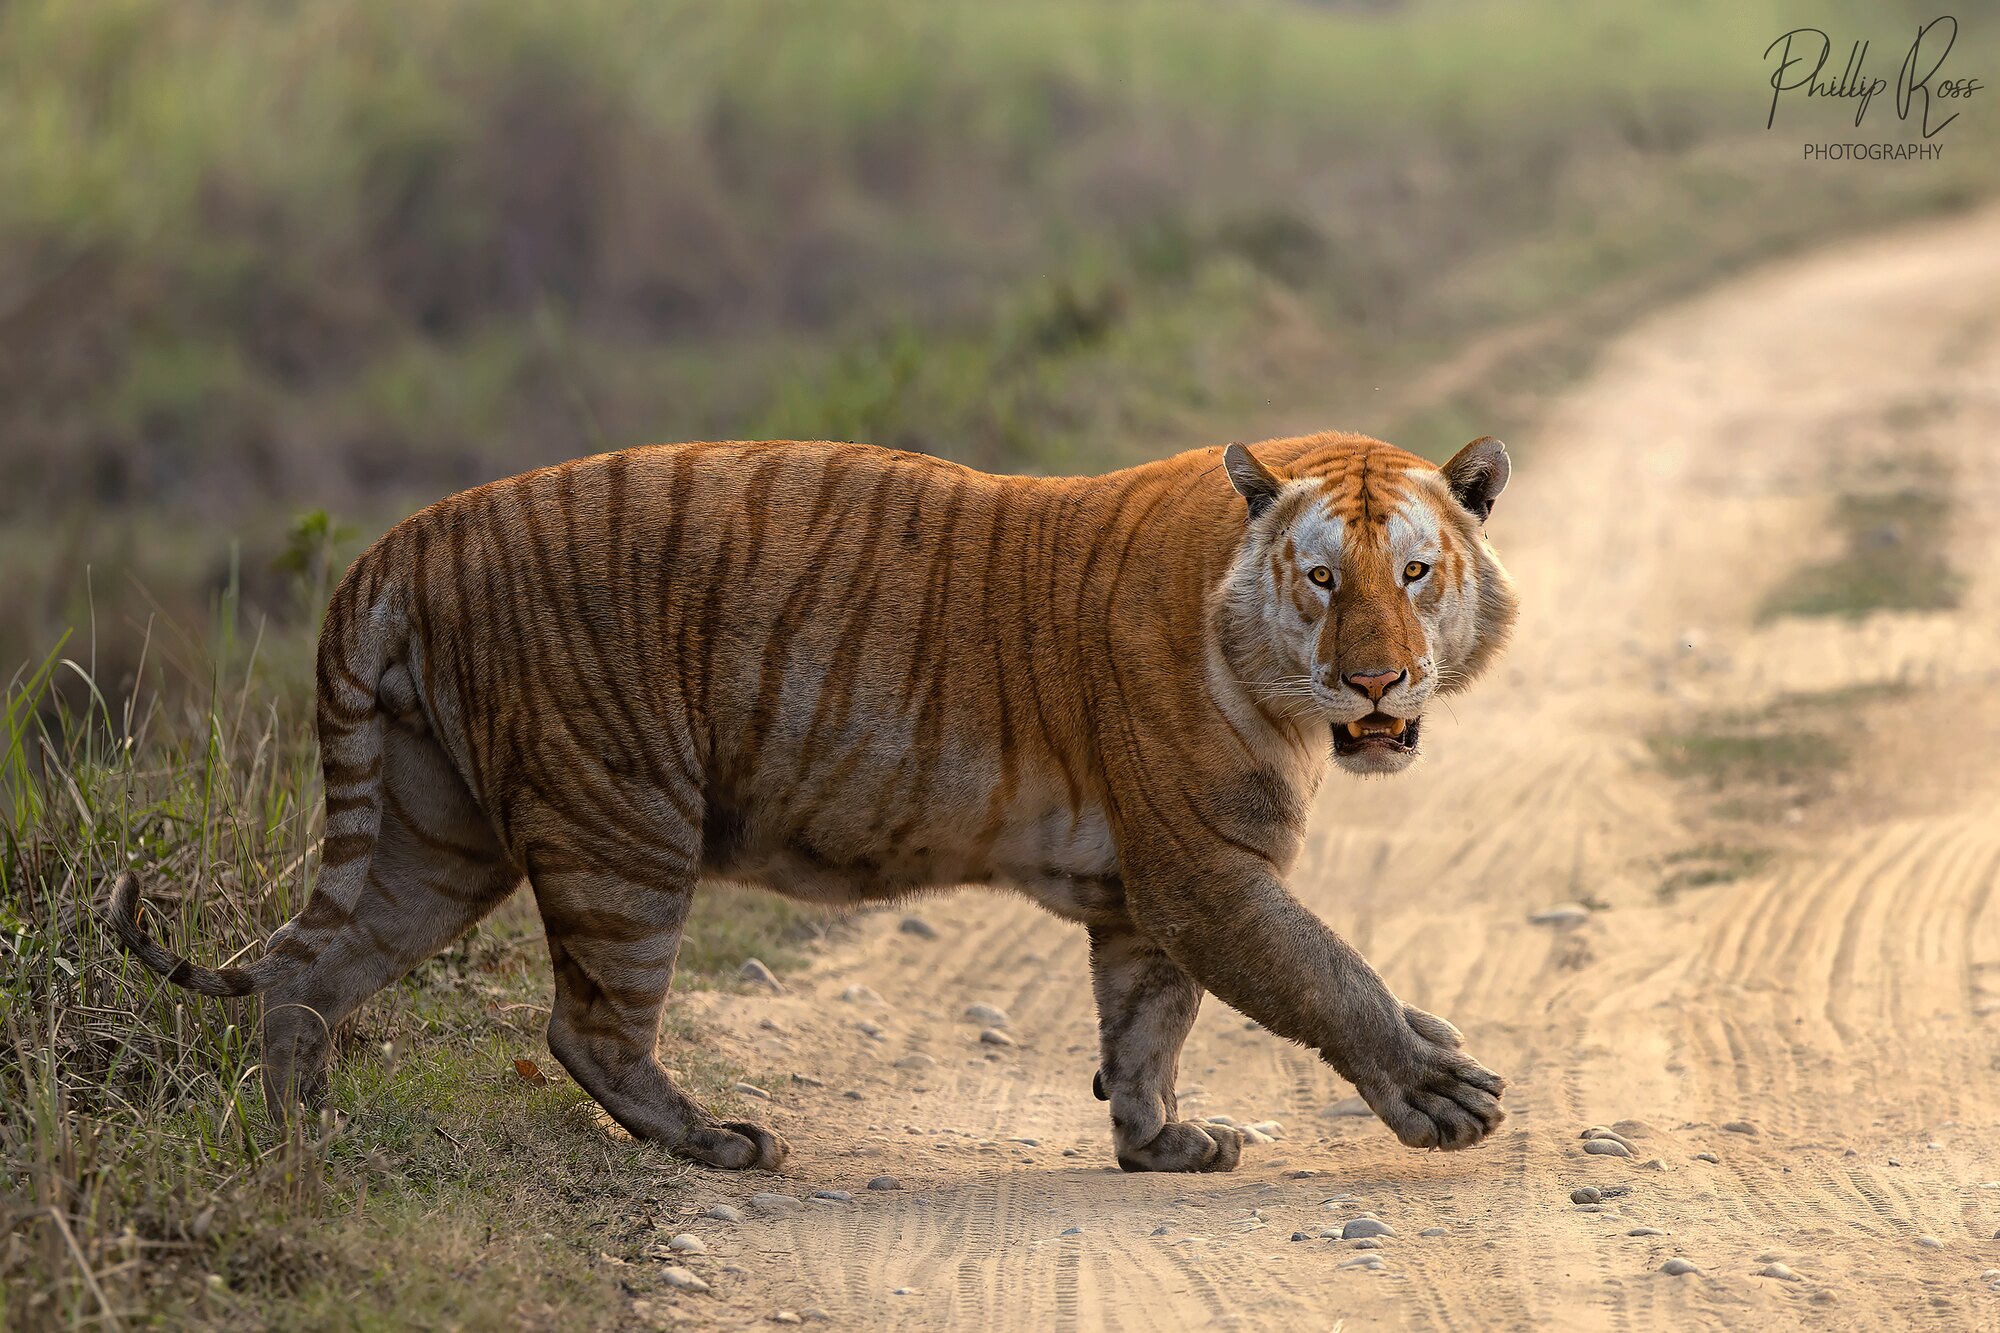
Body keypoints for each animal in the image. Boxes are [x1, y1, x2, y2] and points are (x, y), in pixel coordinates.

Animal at [112, 429, 1517, 1174]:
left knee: (308, 970)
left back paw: (302, 1139)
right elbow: (1325, 972)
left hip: (430, 835)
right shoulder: (1202, 870)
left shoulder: (1146, 894)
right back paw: (722, 1142)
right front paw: (1442, 1094)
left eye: (1413, 572)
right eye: (1324, 580)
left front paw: (1158, 1142)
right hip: (621, 827)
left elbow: (1145, 1028)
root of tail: (397, 545)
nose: (1376, 678)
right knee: (587, 1027)